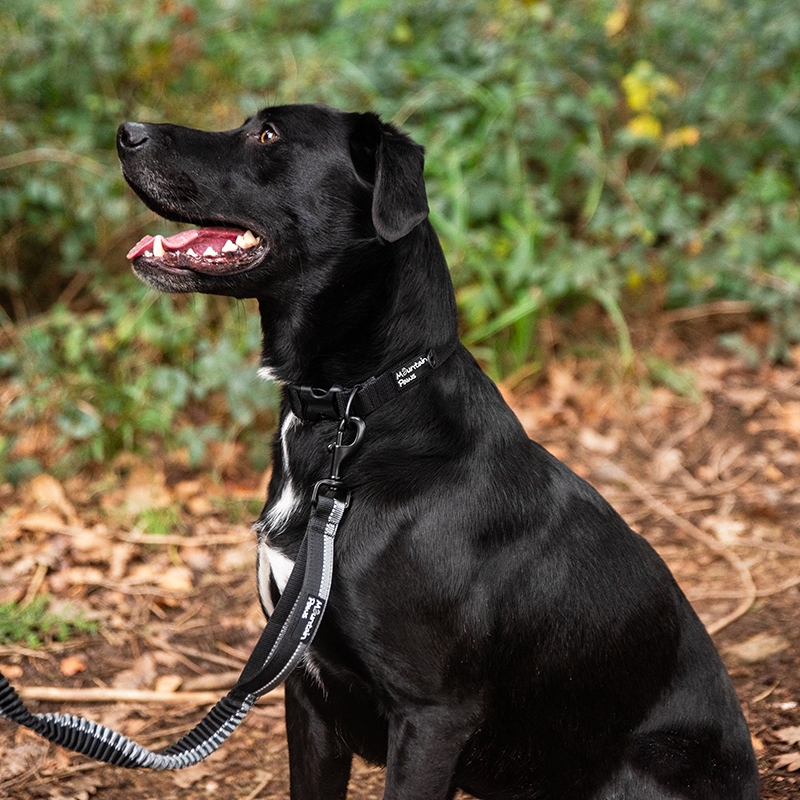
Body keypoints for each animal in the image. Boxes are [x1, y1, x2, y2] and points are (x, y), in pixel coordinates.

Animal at [117, 104, 759, 800]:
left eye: (267, 134)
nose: (126, 133)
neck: (353, 412)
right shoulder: (307, 692)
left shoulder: (431, 716)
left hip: (644, 767)